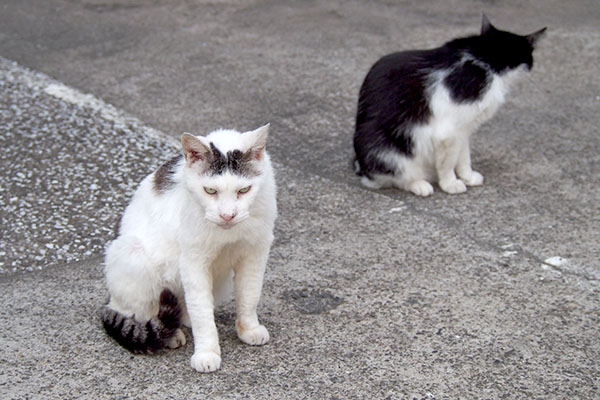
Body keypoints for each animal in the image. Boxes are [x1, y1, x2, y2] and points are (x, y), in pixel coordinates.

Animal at [100, 123, 276, 374]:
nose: (228, 215)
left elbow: (249, 295)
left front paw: (249, 328)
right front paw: (207, 353)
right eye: (210, 191)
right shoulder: (194, 261)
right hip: (133, 254)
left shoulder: (255, 251)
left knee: (188, 307)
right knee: (139, 310)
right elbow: (201, 312)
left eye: (244, 190)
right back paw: (168, 335)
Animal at [354, 14, 548, 196]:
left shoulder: (463, 129)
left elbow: (463, 156)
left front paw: (467, 176)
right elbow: (447, 163)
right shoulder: (447, 132)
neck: (485, 58)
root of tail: (361, 167)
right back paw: (419, 184)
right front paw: (450, 184)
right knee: (397, 176)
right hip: (391, 151)